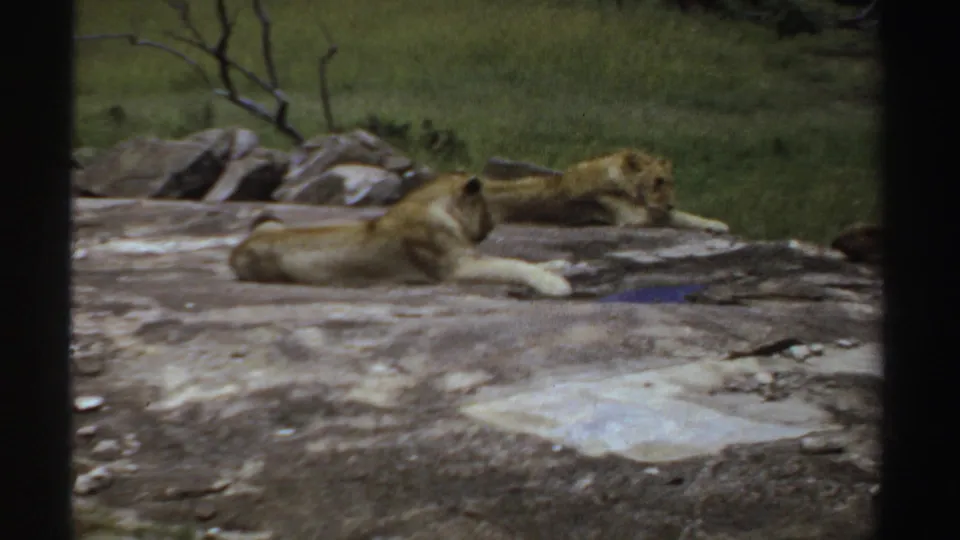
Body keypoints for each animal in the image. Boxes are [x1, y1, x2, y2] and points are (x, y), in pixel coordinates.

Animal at [228, 173, 573, 297]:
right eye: (486, 206)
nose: (490, 227)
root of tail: (237, 249)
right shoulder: (455, 269)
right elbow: (512, 263)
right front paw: (555, 284)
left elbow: (516, 258)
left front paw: (558, 265)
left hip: (273, 222)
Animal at [480, 149, 730, 233]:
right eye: (657, 182)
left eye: (670, 182)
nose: (670, 203)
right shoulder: (630, 218)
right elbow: (675, 217)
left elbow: (686, 216)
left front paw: (717, 224)